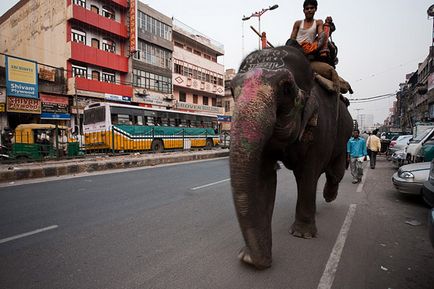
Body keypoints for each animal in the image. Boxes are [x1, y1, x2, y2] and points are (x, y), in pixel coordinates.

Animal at [229, 44, 354, 268]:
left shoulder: (322, 126)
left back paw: (328, 196)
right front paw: (252, 257)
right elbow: (264, 177)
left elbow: (309, 170)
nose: (252, 259)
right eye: (231, 90)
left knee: (333, 172)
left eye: (287, 88)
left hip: (344, 135)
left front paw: (302, 235)